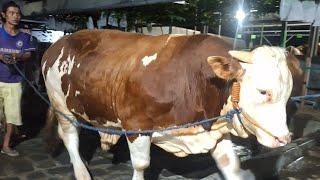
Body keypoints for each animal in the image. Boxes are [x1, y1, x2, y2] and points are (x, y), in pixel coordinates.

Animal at [41, 29, 294, 180]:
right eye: (263, 91)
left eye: (288, 94)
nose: (284, 138)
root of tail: (56, 44)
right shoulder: (136, 124)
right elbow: (141, 165)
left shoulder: (214, 128)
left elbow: (230, 165)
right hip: (61, 106)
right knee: (69, 137)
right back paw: (81, 172)